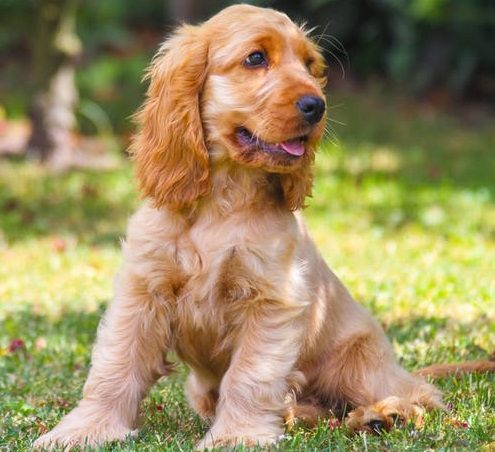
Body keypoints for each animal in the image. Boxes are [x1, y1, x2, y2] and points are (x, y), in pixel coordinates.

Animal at [34, 4, 492, 452]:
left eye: (309, 65)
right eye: (256, 58)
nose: (317, 106)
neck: (223, 198)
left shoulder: (272, 300)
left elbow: (251, 376)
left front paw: (237, 435)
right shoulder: (144, 290)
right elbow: (115, 366)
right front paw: (85, 430)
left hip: (358, 361)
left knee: (419, 395)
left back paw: (383, 415)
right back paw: (302, 414)